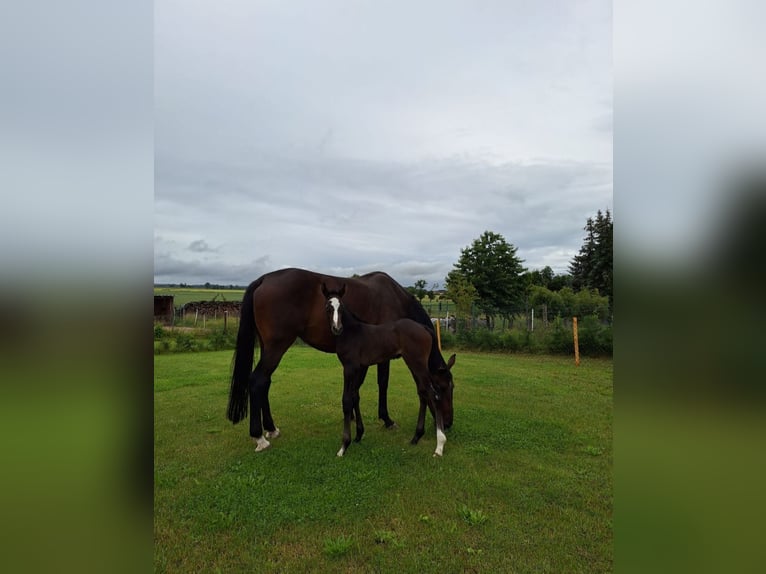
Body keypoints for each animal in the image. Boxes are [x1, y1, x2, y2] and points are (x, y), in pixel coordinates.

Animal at [225, 268, 448, 452]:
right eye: (445, 388)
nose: (448, 424)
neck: (396, 298)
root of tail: (264, 279)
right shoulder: (382, 357)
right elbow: (382, 383)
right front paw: (386, 420)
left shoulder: (362, 360)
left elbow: (356, 390)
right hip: (276, 347)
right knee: (257, 380)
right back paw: (259, 437)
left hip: (268, 347)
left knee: (265, 382)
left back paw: (271, 428)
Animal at [322, 284, 456, 460]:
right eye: (328, 307)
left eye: (341, 307)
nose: (337, 328)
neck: (352, 332)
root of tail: (424, 328)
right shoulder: (360, 367)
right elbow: (355, 396)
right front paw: (358, 435)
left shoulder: (349, 368)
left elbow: (346, 401)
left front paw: (344, 446)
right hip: (415, 364)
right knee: (423, 393)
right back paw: (416, 437)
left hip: (417, 364)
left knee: (431, 395)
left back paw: (439, 445)